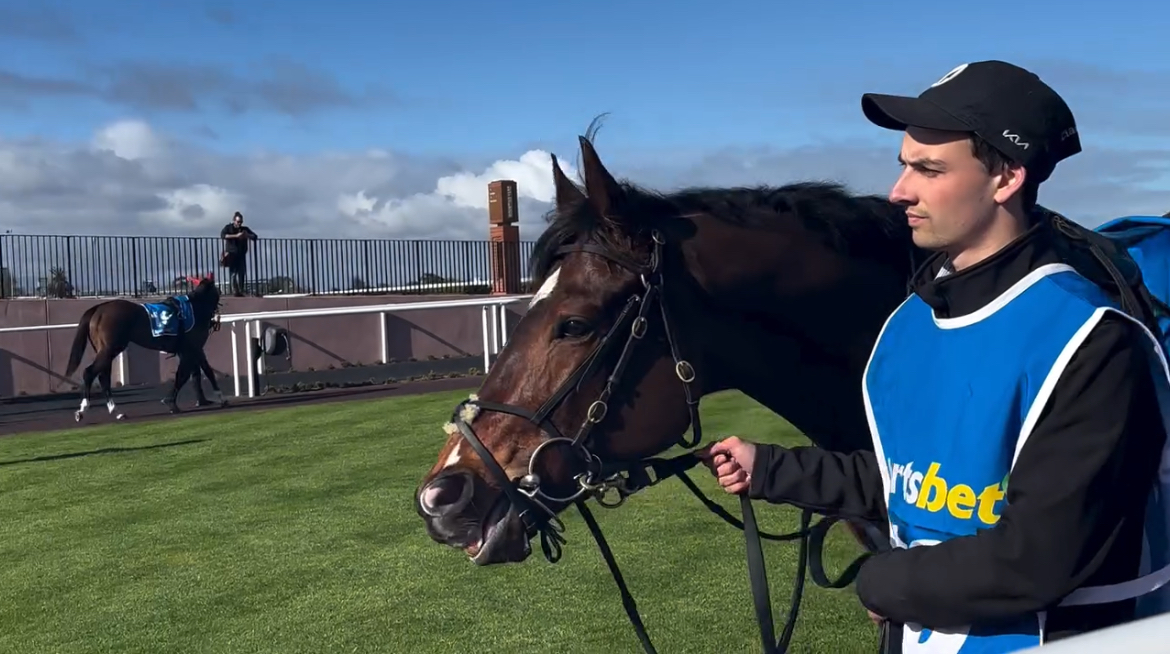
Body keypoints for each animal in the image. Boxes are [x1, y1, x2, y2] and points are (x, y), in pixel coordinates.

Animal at [63, 273, 228, 421]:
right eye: (217, 290)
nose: (215, 317)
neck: (195, 308)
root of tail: (98, 309)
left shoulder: (193, 350)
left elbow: (206, 371)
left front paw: (220, 398)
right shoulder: (192, 349)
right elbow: (183, 375)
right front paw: (171, 402)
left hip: (105, 350)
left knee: (103, 377)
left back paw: (116, 411)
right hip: (110, 349)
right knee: (89, 372)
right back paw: (83, 409)